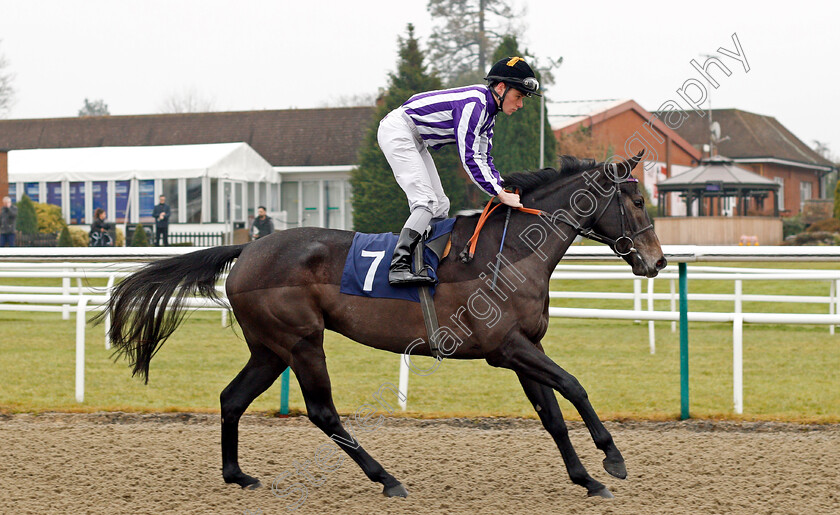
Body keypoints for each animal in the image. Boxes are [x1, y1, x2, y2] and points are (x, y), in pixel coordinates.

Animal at [100, 152, 664, 500]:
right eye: (637, 202)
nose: (657, 262)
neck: (509, 252)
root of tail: (248, 248)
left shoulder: (525, 347)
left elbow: (552, 414)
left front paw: (587, 479)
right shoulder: (506, 347)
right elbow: (575, 385)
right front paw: (612, 459)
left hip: (269, 349)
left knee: (231, 398)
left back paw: (237, 475)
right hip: (301, 342)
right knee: (323, 412)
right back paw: (387, 478)